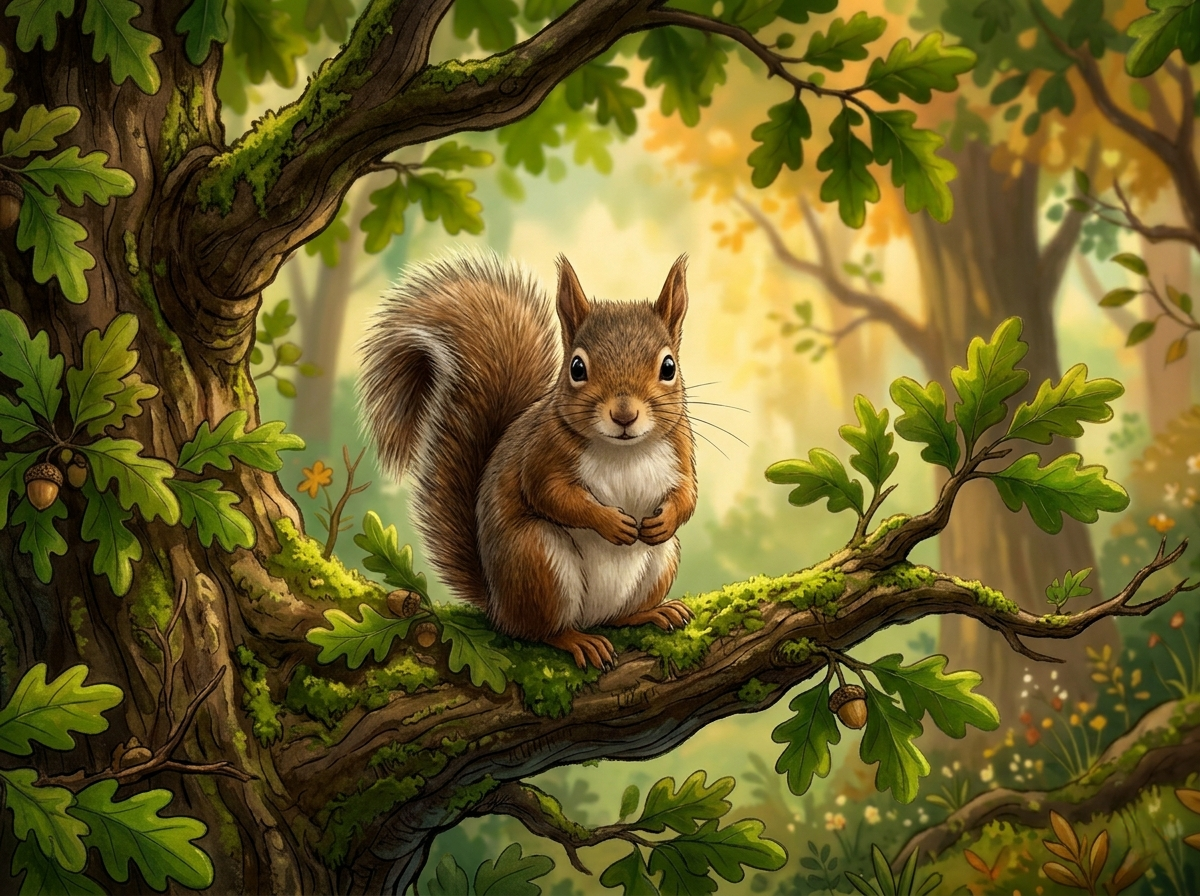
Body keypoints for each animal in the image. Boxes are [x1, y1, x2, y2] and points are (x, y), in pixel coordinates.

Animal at [358, 252, 697, 669]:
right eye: (577, 368)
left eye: (669, 367)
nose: (624, 415)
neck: (623, 451)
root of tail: (497, 604)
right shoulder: (541, 454)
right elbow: (550, 495)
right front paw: (610, 522)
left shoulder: (681, 450)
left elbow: (687, 496)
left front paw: (664, 519)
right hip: (537, 562)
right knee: (539, 631)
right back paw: (577, 640)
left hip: (661, 560)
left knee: (619, 616)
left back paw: (653, 611)